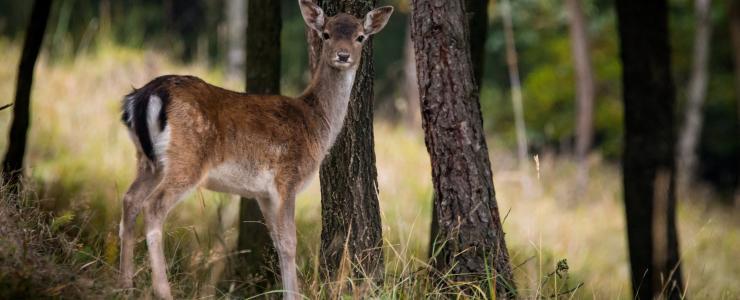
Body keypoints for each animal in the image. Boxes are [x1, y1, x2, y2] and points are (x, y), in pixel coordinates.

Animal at [117, 1, 394, 298]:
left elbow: (276, 240)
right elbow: (289, 242)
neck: (317, 123)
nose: (343, 55)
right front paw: (292, 295)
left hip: (148, 161)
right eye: (326, 34)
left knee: (130, 200)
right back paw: (162, 290)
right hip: (187, 159)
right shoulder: (287, 179)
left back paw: (125, 285)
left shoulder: (262, 193)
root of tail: (144, 96)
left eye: (360, 37)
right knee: (154, 206)